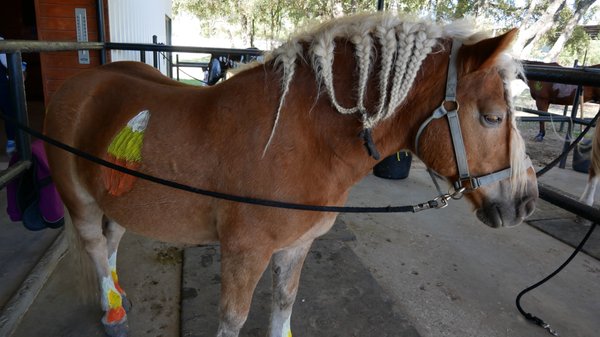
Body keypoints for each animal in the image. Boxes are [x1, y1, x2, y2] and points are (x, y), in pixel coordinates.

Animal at [44, 13, 536, 336]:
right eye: (492, 117)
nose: (526, 202)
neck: (303, 139)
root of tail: (81, 84)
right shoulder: (244, 254)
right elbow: (234, 320)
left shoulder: (296, 248)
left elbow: (283, 307)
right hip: (77, 197)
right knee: (94, 245)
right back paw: (113, 315)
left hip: (116, 195)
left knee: (111, 240)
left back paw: (115, 298)